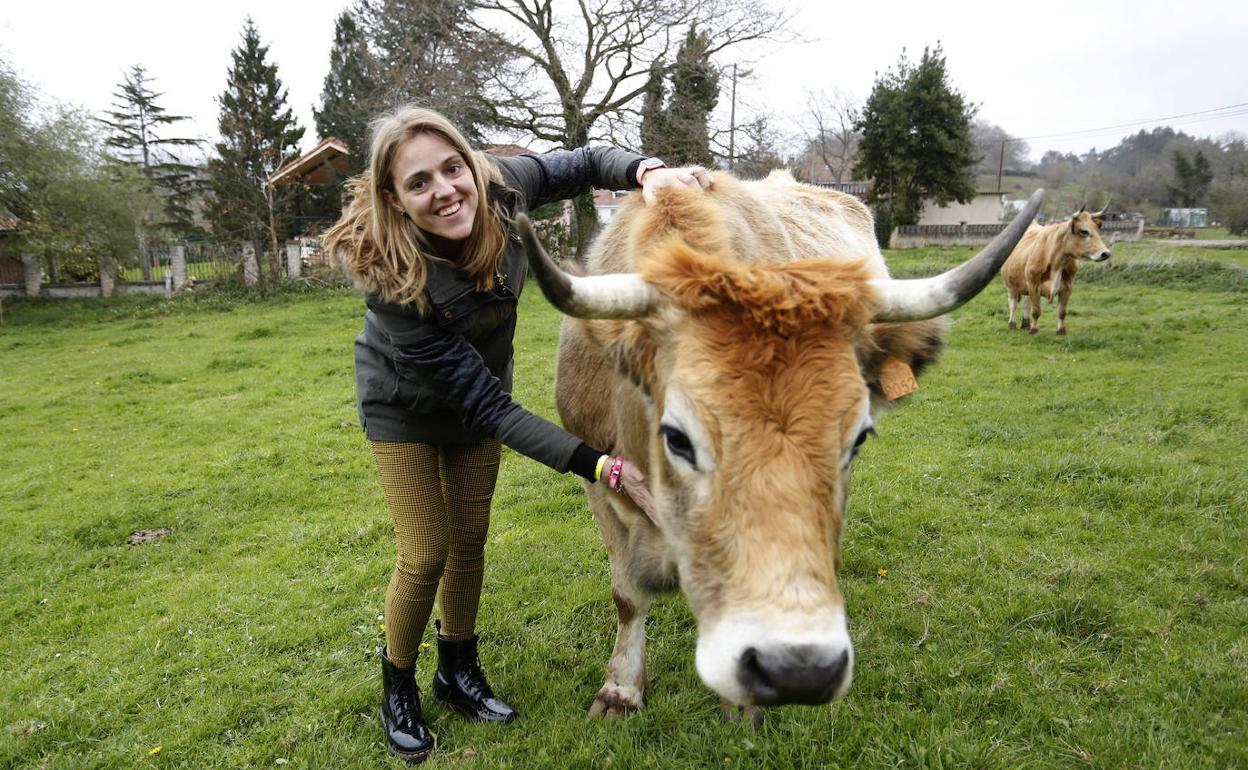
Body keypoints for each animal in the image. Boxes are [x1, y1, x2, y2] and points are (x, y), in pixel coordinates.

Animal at [516, 174, 1043, 713]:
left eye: (858, 437)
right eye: (677, 437)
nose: (801, 669)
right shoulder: (597, 479)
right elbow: (626, 594)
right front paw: (621, 689)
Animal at [1003, 205, 1113, 334]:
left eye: (1097, 230)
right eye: (1084, 231)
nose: (1106, 253)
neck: (1056, 261)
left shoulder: (1067, 287)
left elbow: (1061, 312)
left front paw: (1061, 330)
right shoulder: (1033, 285)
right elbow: (1036, 311)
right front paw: (1034, 330)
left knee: (1026, 303)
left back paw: (1025, 324)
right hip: (1011, 286)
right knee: (1013, 304)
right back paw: (1012, 324)